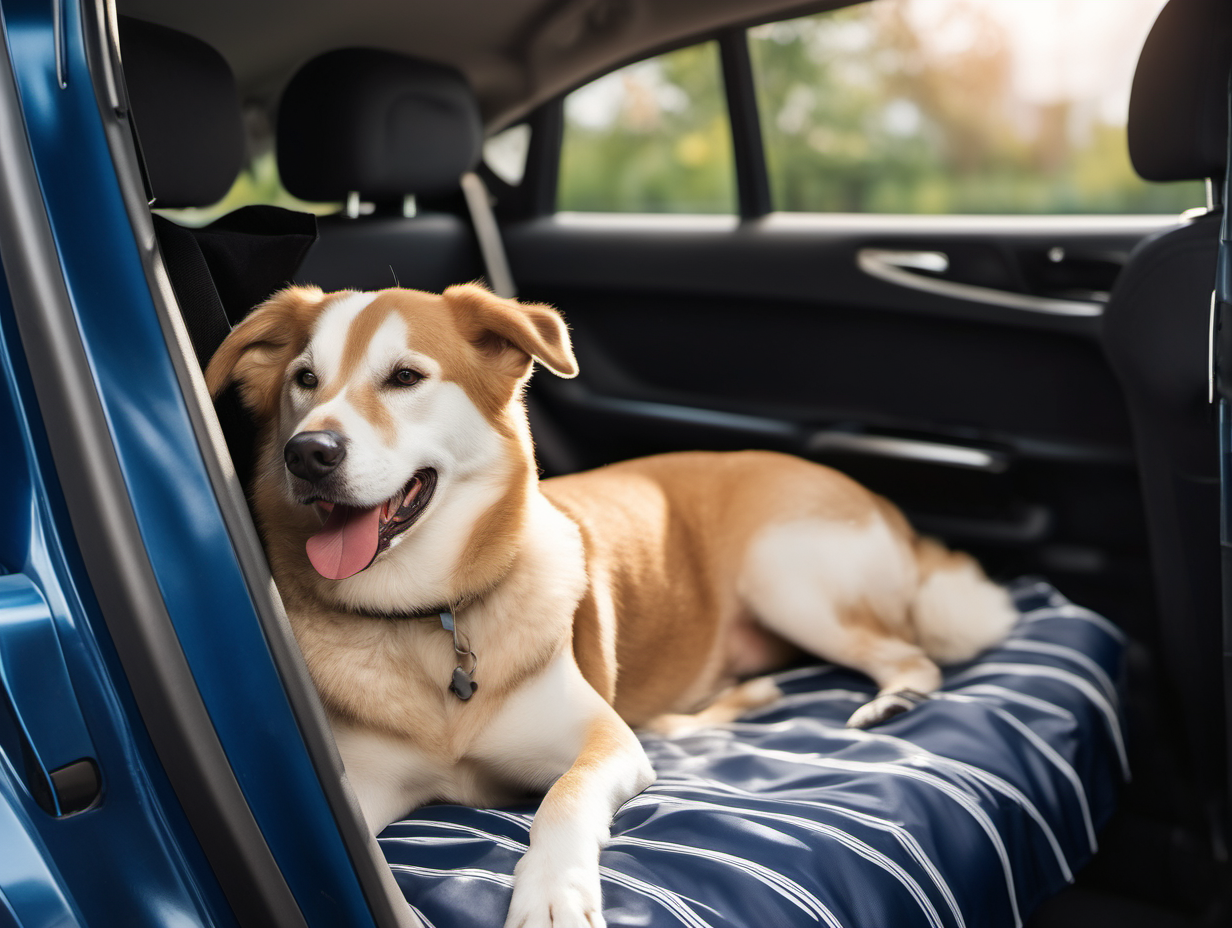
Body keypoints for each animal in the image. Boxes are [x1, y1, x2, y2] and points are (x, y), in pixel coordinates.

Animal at [206, 284, 1020, 926]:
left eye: (405, 377)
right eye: (304, 380)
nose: (308, 453)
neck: (434, 617)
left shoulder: (603, 745)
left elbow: (562, 801)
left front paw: (552, 896)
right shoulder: (360, 791)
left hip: (787, 579)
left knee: (911, 654)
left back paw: (890, 702)